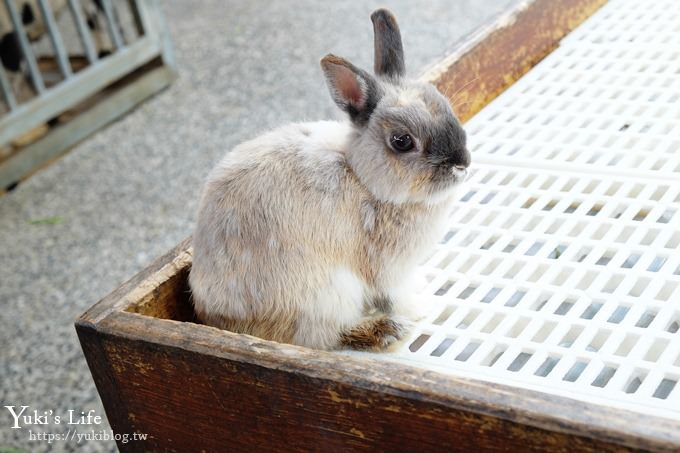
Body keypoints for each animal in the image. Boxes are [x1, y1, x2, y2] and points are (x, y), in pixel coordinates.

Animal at [189, 8, 470, 352]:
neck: (362, 177)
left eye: (446, 105)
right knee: (326, 335)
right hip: (328, 293)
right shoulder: (387, 268)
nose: (462, 163)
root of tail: (218, 320)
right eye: (401, 141)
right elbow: (397, 296)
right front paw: (421, 308)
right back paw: (385, 330)